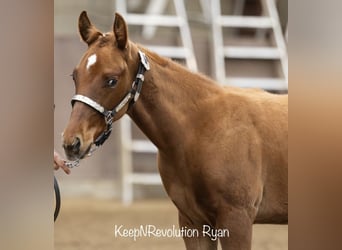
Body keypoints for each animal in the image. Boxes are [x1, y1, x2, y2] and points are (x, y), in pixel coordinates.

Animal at [62, 11, 288, 248]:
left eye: (112, 80)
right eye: (75, 76)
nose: (72, 143)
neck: (200, 129)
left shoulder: (237, 219)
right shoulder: (194, 222)